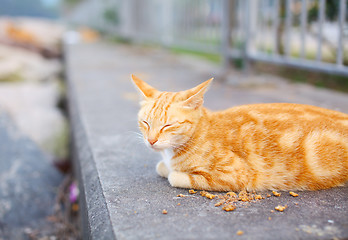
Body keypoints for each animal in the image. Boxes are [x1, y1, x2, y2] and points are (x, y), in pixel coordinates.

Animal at [131, 75, 348, 191]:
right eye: (145, 122)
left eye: (168, 125)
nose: (151, 141)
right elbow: (161, 167)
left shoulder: (235, 175)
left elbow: (174, 176)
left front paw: (173, 171)